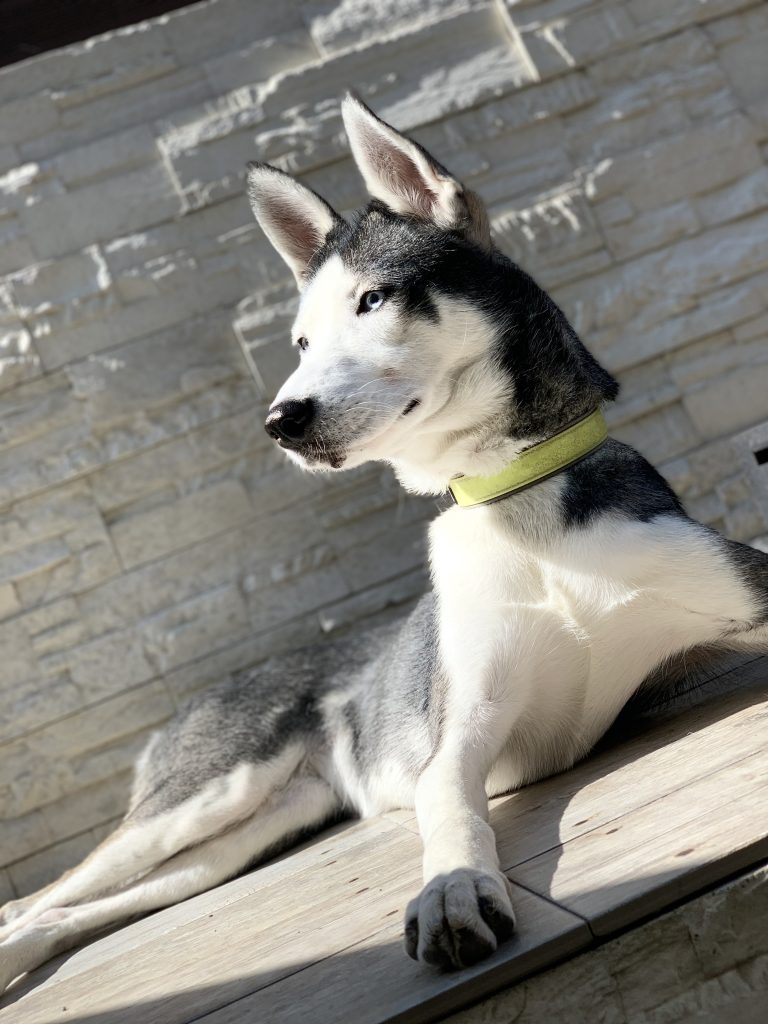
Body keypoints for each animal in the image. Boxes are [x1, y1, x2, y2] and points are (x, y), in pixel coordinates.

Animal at [1, 97, 768, 991]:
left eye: (374, 300)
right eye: (300, 342)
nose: (281, 421)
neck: (516, 503)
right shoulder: (460, 730)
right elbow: (454, 814)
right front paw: (453, 891)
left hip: (234, 840)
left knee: (57, 915)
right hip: (201, 800)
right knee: (41, 896)